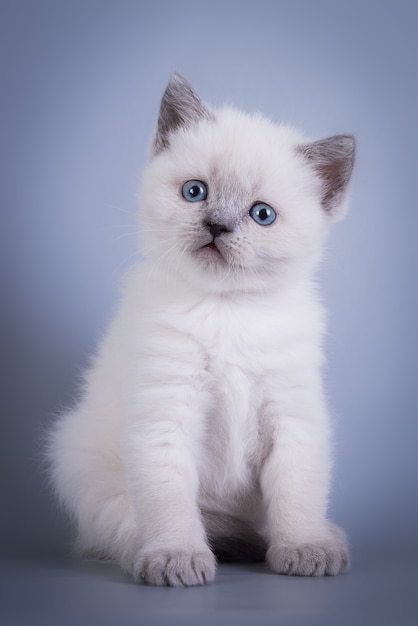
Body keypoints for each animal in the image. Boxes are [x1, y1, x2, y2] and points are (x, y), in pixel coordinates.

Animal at [49, 74, 356, 584]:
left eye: (262, 215)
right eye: (195, 192)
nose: (217, 226)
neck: (226, 308)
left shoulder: (293, 416)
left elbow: (297, 494)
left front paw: (304, 548)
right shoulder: (166, 412)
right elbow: (169, 500)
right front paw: (176, 557)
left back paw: (313, 539)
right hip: (77, 457)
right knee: (121, 526)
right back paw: (166, 549)